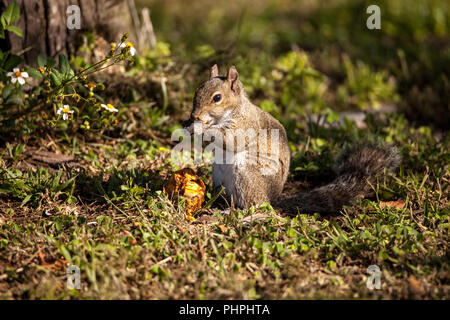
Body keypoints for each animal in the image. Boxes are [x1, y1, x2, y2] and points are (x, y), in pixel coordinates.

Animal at [183, 64, 400, 215]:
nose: (194, 115)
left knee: (254, 204)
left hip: (246, 172)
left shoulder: (246, 125)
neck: (233, 110)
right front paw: (188, 124)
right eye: (196, 92)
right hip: (218, 173)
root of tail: (272, 199)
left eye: (217, 98)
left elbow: (230, 139)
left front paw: (200, 129)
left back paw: (235, 211)